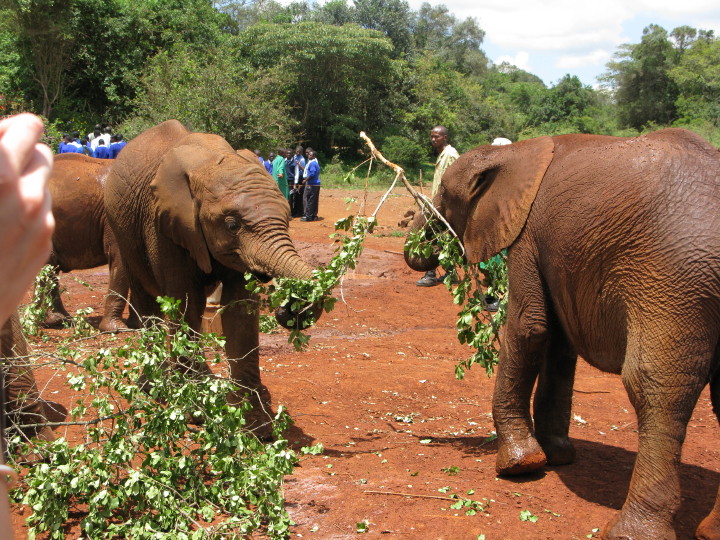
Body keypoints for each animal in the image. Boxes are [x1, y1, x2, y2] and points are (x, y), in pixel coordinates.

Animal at [103, 120, 316, 439]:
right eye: (231, 225)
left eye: (288, 219)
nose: (290, 308)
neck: (211, 161)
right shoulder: (163, 223)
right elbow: (185, 303)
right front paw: (194, 410)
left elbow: (240, 310)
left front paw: (256, 428)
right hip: (123, 229)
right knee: (148, 302)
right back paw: (155, 386)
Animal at [404, 128, 720, 539]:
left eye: (443, 195)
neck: (515, 153)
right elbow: (558, 346)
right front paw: (557, 456)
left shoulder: (526, 236)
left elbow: (529, 328)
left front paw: (519, 466)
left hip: (675, 279)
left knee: (655, 385)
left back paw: (628, 531)